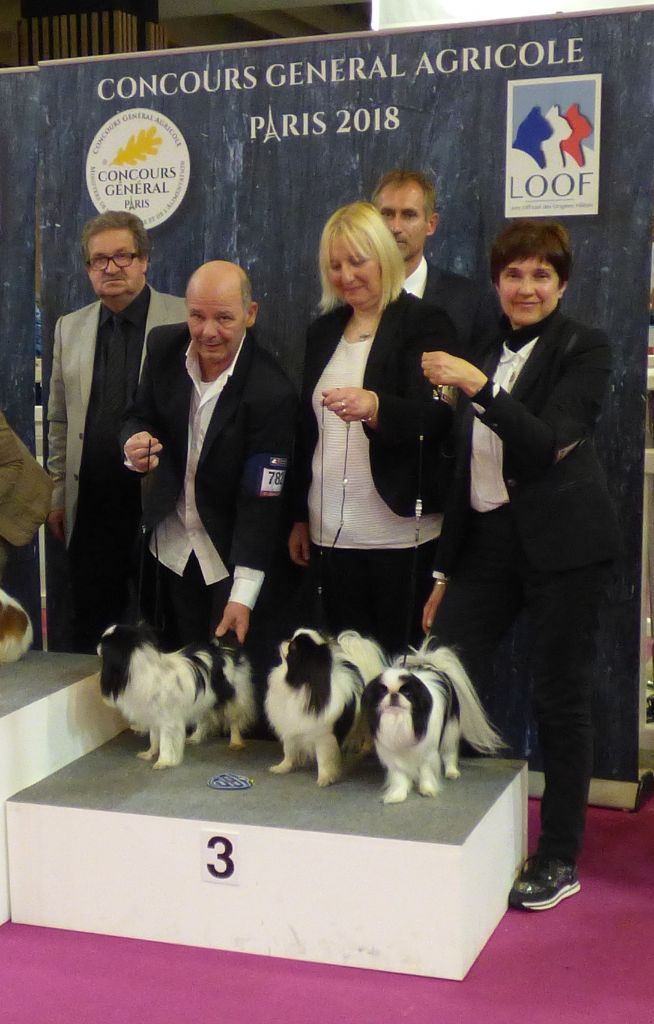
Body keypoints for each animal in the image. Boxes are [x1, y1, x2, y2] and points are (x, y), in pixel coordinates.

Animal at [98, 622, 256, 770]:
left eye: (104, 643)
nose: (97, 645)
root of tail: (223, 650)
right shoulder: (153, 715)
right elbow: (154, 738)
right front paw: (150, 754)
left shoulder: (168, 720)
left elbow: (165, 742)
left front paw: (163, 761)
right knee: (203, 719)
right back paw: (196, 737)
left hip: (232, 699)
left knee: (234, 721)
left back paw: (235, 742)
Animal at [266, 626, 388, 786]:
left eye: (293, 647)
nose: (286, 640)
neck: (300, 686)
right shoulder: (290, 729)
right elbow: (289, 751)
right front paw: (282, 767)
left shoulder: (324, 738)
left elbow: (323, 760)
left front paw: (324, 778)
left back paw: (365, 750)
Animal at [360, 638, 503, 798]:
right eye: (383, 692)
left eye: (407, 693)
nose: (394, 694)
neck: (401, 720)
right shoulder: (395, 755)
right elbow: (399, 776)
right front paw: (398, 794)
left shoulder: (427, 752)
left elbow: (426, 771)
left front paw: (427, 789)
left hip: (449, 731)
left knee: (449, 752)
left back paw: (452, 772)